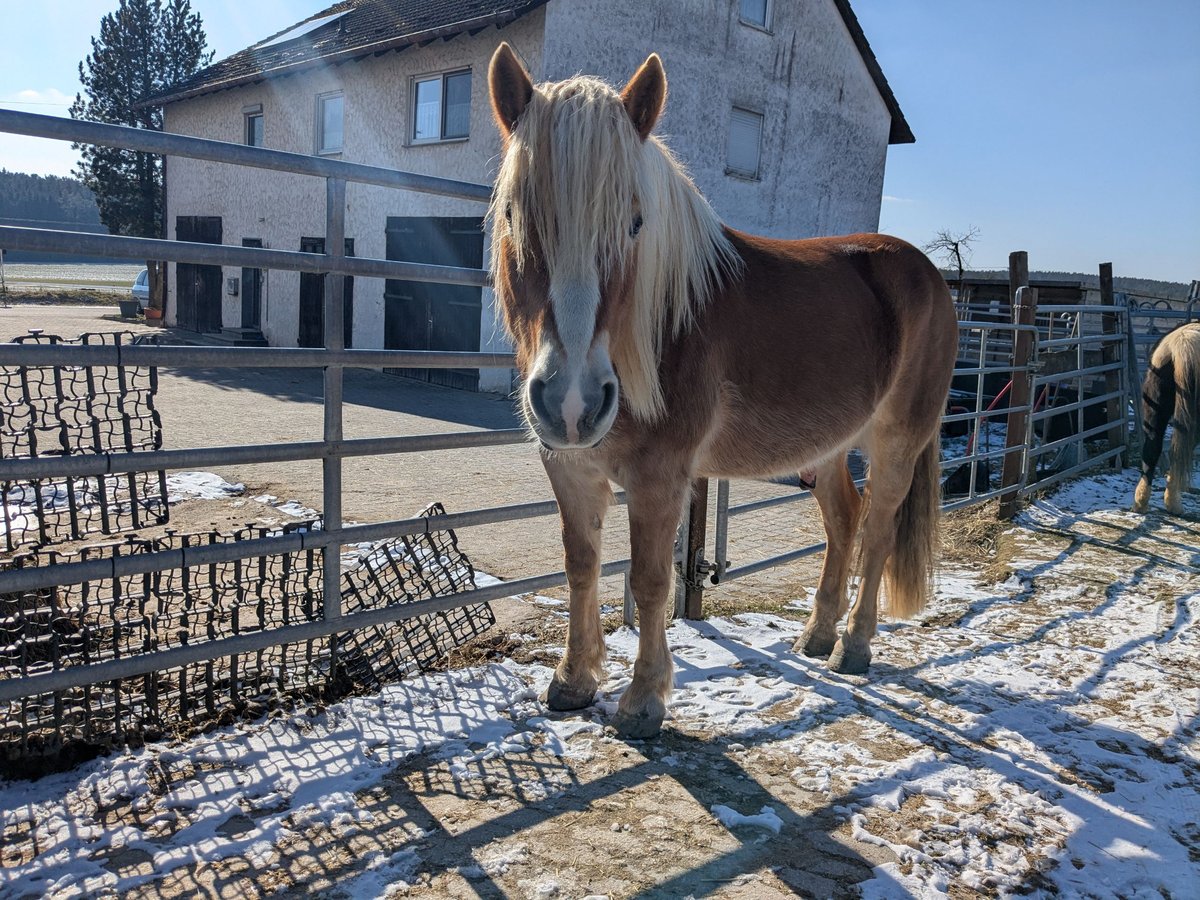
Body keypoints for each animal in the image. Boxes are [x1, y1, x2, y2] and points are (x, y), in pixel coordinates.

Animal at [484, 42, 955, 739]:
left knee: (876, 531)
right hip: (826, 449)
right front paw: (573, 680)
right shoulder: (570, 469)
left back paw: (852, 646)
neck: (660, 329)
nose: (573, 404)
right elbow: (581, 566)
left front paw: (643, 700)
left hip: (897, 443)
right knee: (843, 520)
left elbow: (651, 581)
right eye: (517, 215)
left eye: (635, 223)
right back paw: (817, 634)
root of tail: (927, 272)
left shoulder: (660, 479)